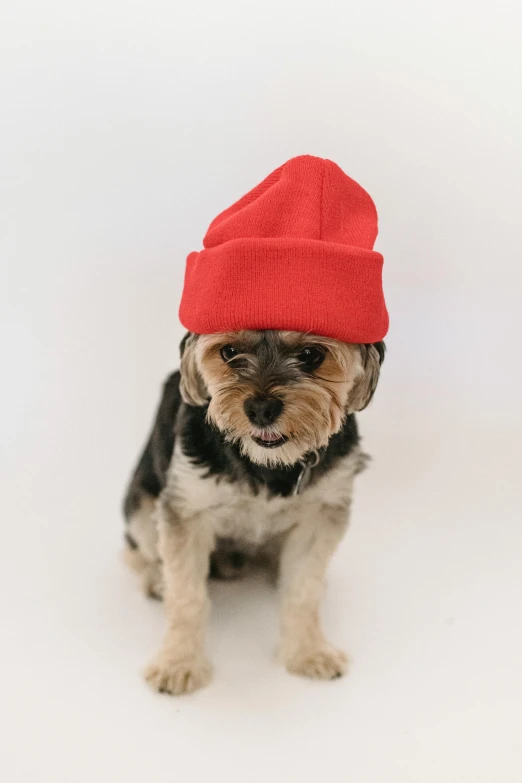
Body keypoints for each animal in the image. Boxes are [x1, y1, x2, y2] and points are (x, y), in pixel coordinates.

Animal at [122, 328, 382, 696]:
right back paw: (156, 579)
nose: (260, 409)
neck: (268, 464)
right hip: (142, 510)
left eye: (311, 355)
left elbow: (303, 590)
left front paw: (309, 652)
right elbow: (186, 596)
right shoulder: (186, 508)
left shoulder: (321, 512)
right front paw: (178, 663)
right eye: (229, 352)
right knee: (135, 550)